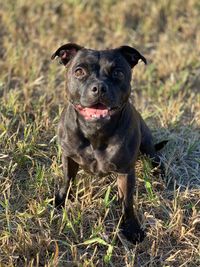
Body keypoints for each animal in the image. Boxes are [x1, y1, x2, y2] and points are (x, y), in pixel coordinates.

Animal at [50, 44, 166, 245]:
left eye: (118, 73)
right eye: (79, 71)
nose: (99, 87)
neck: (95, 132)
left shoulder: (126, 171)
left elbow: (127, 202)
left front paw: (131, 228)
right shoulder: (68, 157)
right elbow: (67, 180)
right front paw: (61, 201)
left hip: (147, 145)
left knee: (154, 157)